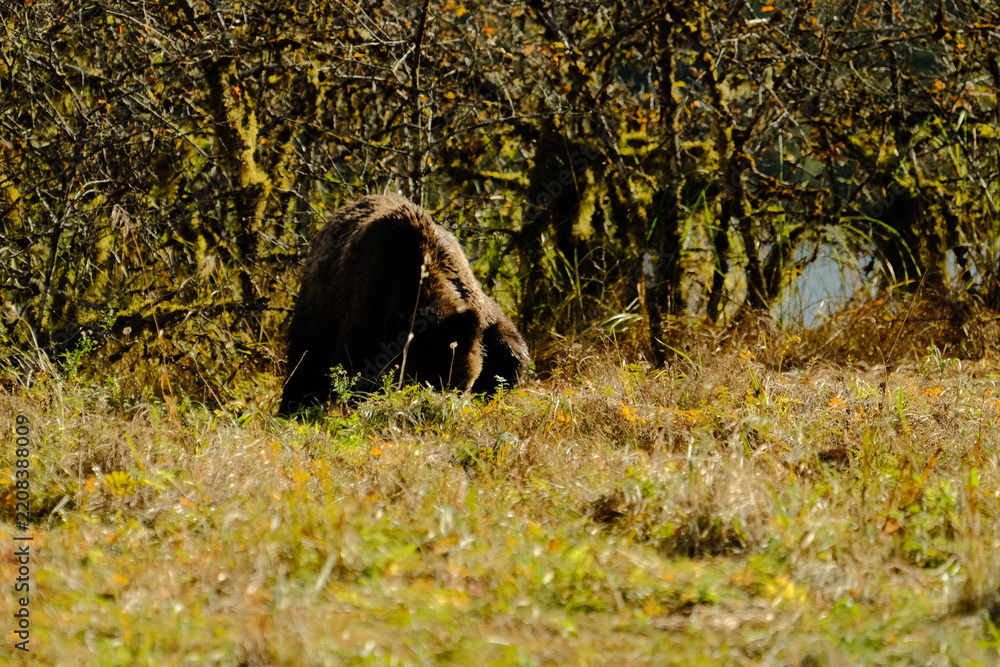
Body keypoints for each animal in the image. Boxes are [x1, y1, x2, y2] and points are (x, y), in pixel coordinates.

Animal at [278, 194, 529, 416]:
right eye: (420, 380)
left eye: (457, 383)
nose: (439, 407)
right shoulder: (366, 312)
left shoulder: (479, 315)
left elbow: (509, 355)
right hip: (318, 308)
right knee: (306, 362)